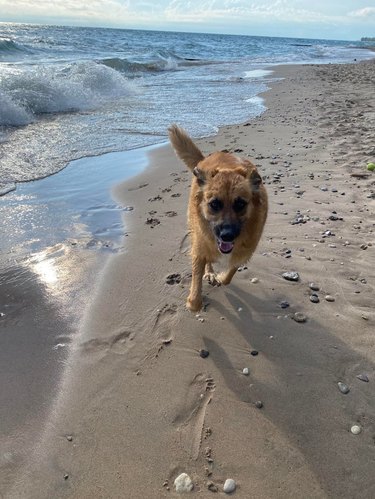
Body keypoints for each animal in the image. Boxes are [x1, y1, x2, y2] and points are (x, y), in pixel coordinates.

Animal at [167, 125, 268, 312]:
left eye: (240, 204)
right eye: (214, 204)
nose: (227, 235)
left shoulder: (245, 250)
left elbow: (230, 273)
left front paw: (222, 278)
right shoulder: (200, 248)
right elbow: (196, 292)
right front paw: (194, 301)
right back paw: (209, 272)